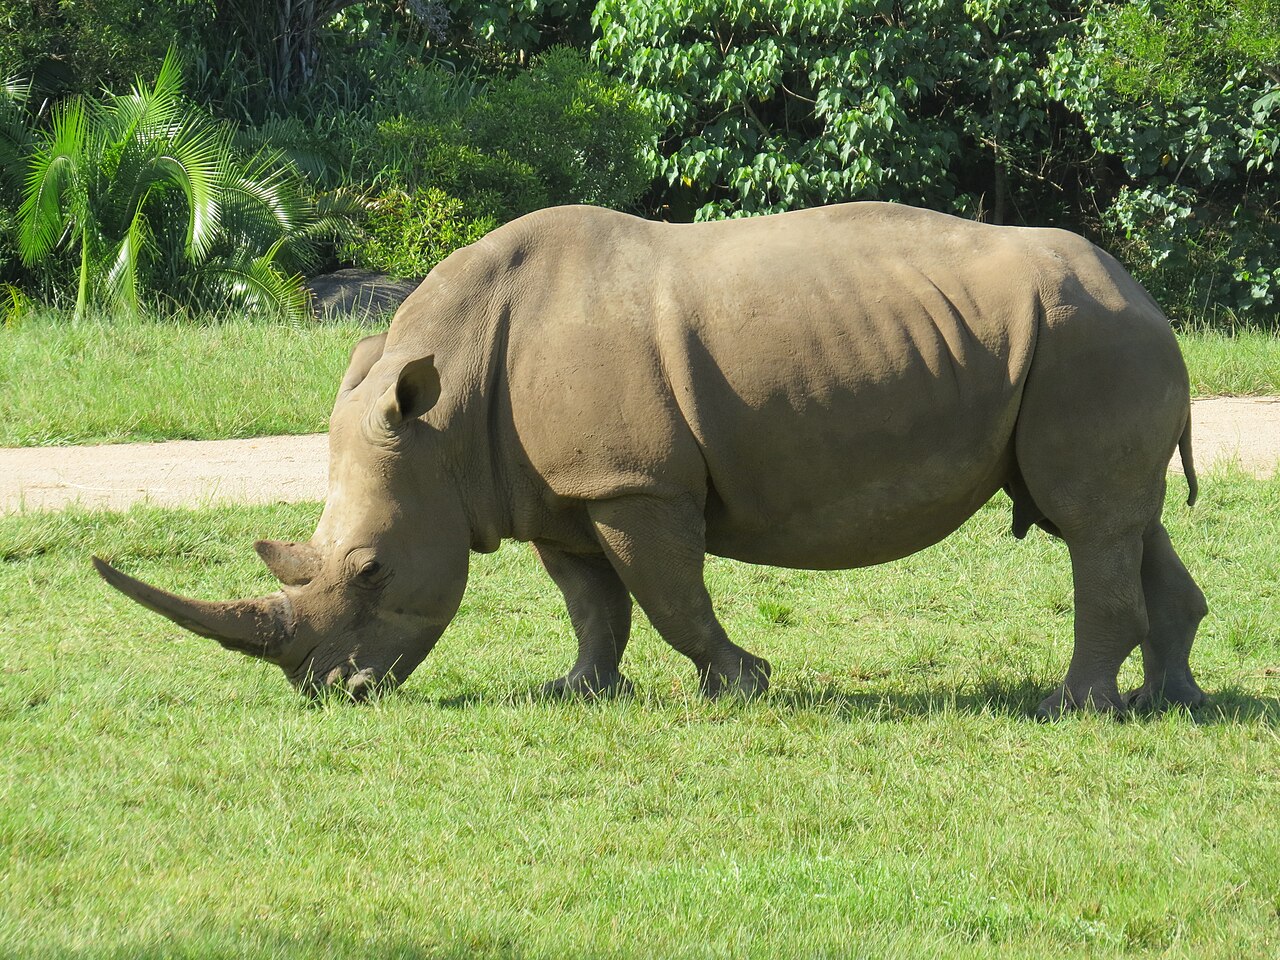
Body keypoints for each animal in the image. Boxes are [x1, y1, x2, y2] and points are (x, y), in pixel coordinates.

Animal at [94, 202, 1207, 718]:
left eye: (369, 571)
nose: (333, 693)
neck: (442, 416)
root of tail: (1148, 296)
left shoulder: (633, 485)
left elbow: (670, 595)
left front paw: (741, 684)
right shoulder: (552, 490)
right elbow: (594, 605)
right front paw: (576, 692)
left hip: (1088, 345)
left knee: (1087, 522)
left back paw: (1071, 708)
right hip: (1089, 345)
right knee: (1121, 519)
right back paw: (1171, 702)